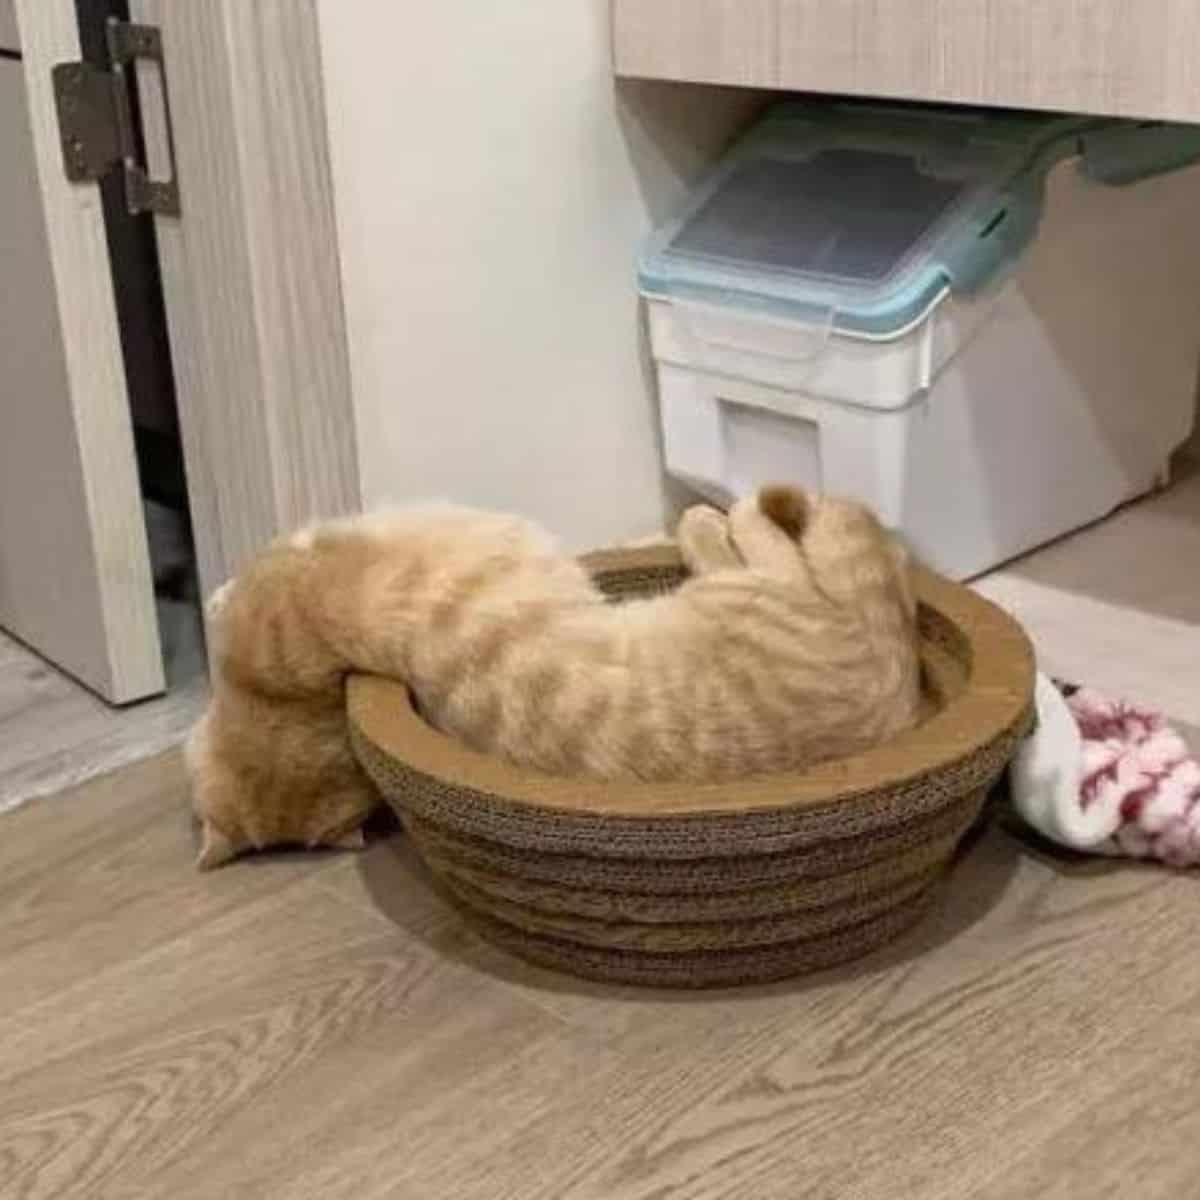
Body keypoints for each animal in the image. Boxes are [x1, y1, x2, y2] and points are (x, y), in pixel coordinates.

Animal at [187, 482, 916, 868]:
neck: (295, 703)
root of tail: (894, 703)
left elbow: (254, 573)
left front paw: (216, 599)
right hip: (749, 591)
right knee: (770, 547)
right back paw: (709, 516)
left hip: (752, 589)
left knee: (766, 540)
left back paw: (709, 513)